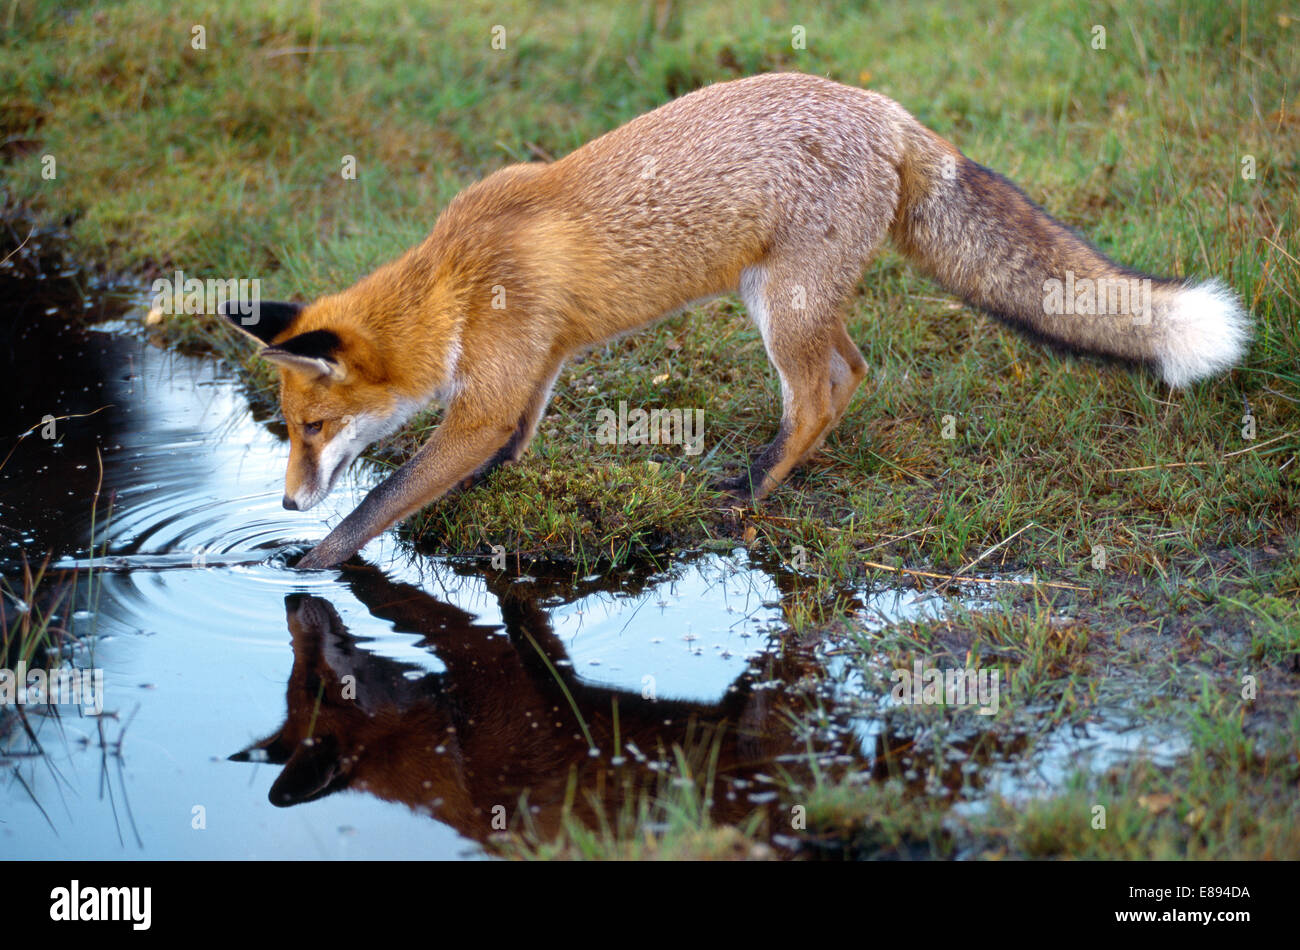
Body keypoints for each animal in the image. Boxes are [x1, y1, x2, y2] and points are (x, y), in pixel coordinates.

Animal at [220, 72, 1248, 571]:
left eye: (311, 430)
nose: (285, 502)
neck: (458, 279)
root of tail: (892, 112)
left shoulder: (488, 387)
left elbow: (386, 498)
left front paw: (306, 562)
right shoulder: (538, 364)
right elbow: (508, 443)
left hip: (780, 311)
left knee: (822, 393)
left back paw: (748, 496)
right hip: (788, 300)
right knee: (853, 372)